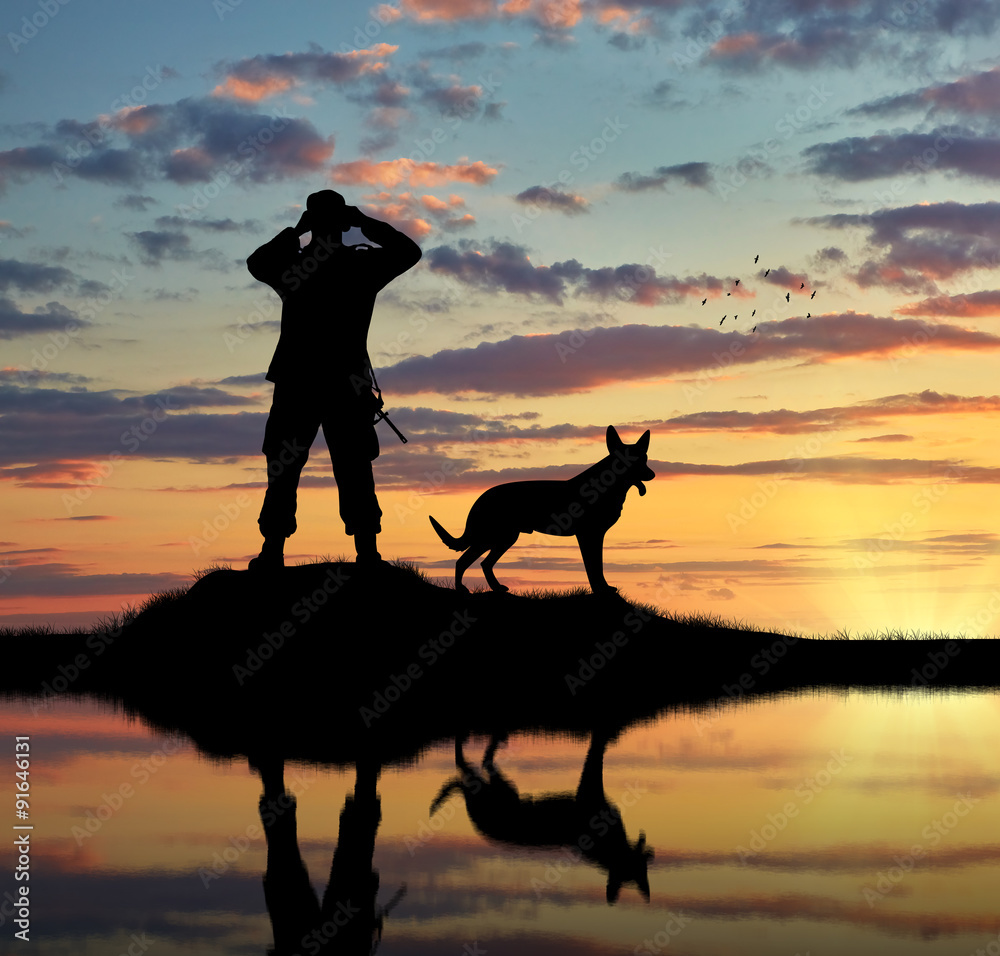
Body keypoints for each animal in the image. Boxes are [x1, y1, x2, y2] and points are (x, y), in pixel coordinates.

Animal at [432, 424, 656, 592]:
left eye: (644, 459)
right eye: (631, 461)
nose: (652, 475)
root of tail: (481, 497)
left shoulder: (594, 535)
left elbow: (596, 566)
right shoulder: (589, 535)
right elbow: (593, 567)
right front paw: (600, 589)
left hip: (503, 538)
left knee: (483, 563)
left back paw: (496, 588)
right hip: (493, 537)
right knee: (463, 561)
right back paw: (461, 589)